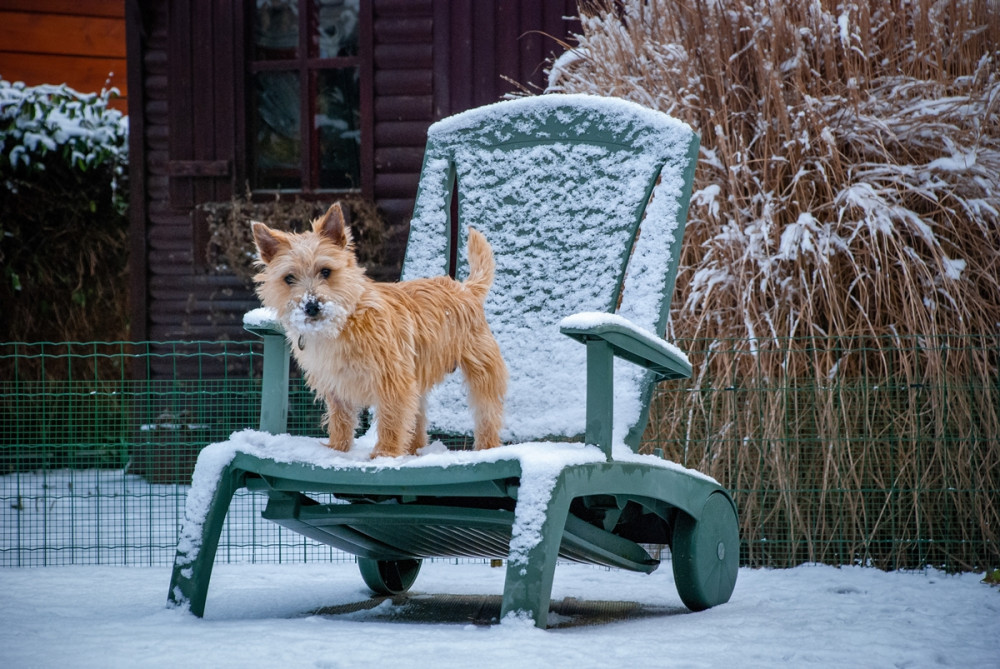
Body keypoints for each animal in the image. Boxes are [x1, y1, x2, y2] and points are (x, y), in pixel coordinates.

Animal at [250, 201, 508, 456]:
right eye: (289, 278)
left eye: (325, 271)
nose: (311, 306)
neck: (343, 323)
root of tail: (465, 289)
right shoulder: (336, 385)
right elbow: (341, 420)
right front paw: (338, 449)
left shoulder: (393, 380)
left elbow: (391, 420)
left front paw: (385, 454)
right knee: (418, 418)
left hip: (481, 370)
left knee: (487, 412)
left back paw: (486, 447)